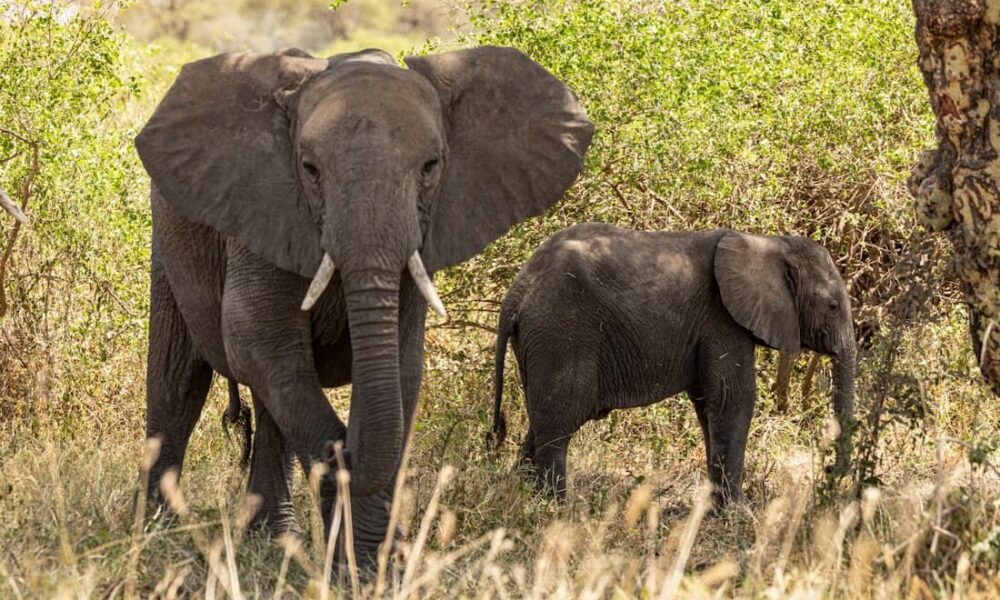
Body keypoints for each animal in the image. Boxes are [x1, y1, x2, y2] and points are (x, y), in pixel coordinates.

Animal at [134, 46, 593, 564]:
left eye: (431, 166)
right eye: (310, 169)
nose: (344, 455)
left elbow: (400, 368)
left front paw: (372, 563)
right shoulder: (264, 210)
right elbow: (253, 338)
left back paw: (274, 542)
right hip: (169, 242)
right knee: (179, 381)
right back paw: (156, 534)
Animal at [491, 223, 856, 505]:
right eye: (833, 306)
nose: (828, 470)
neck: (769, 242)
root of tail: (516, 294)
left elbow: (708, 404)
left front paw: (715, 509)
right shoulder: (722, 319)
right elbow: (733, 398)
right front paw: (738, 512)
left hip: (539, 340)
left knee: (542, 421)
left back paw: (521, 496)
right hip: (561, 332)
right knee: (558, 424)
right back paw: (556, 510)